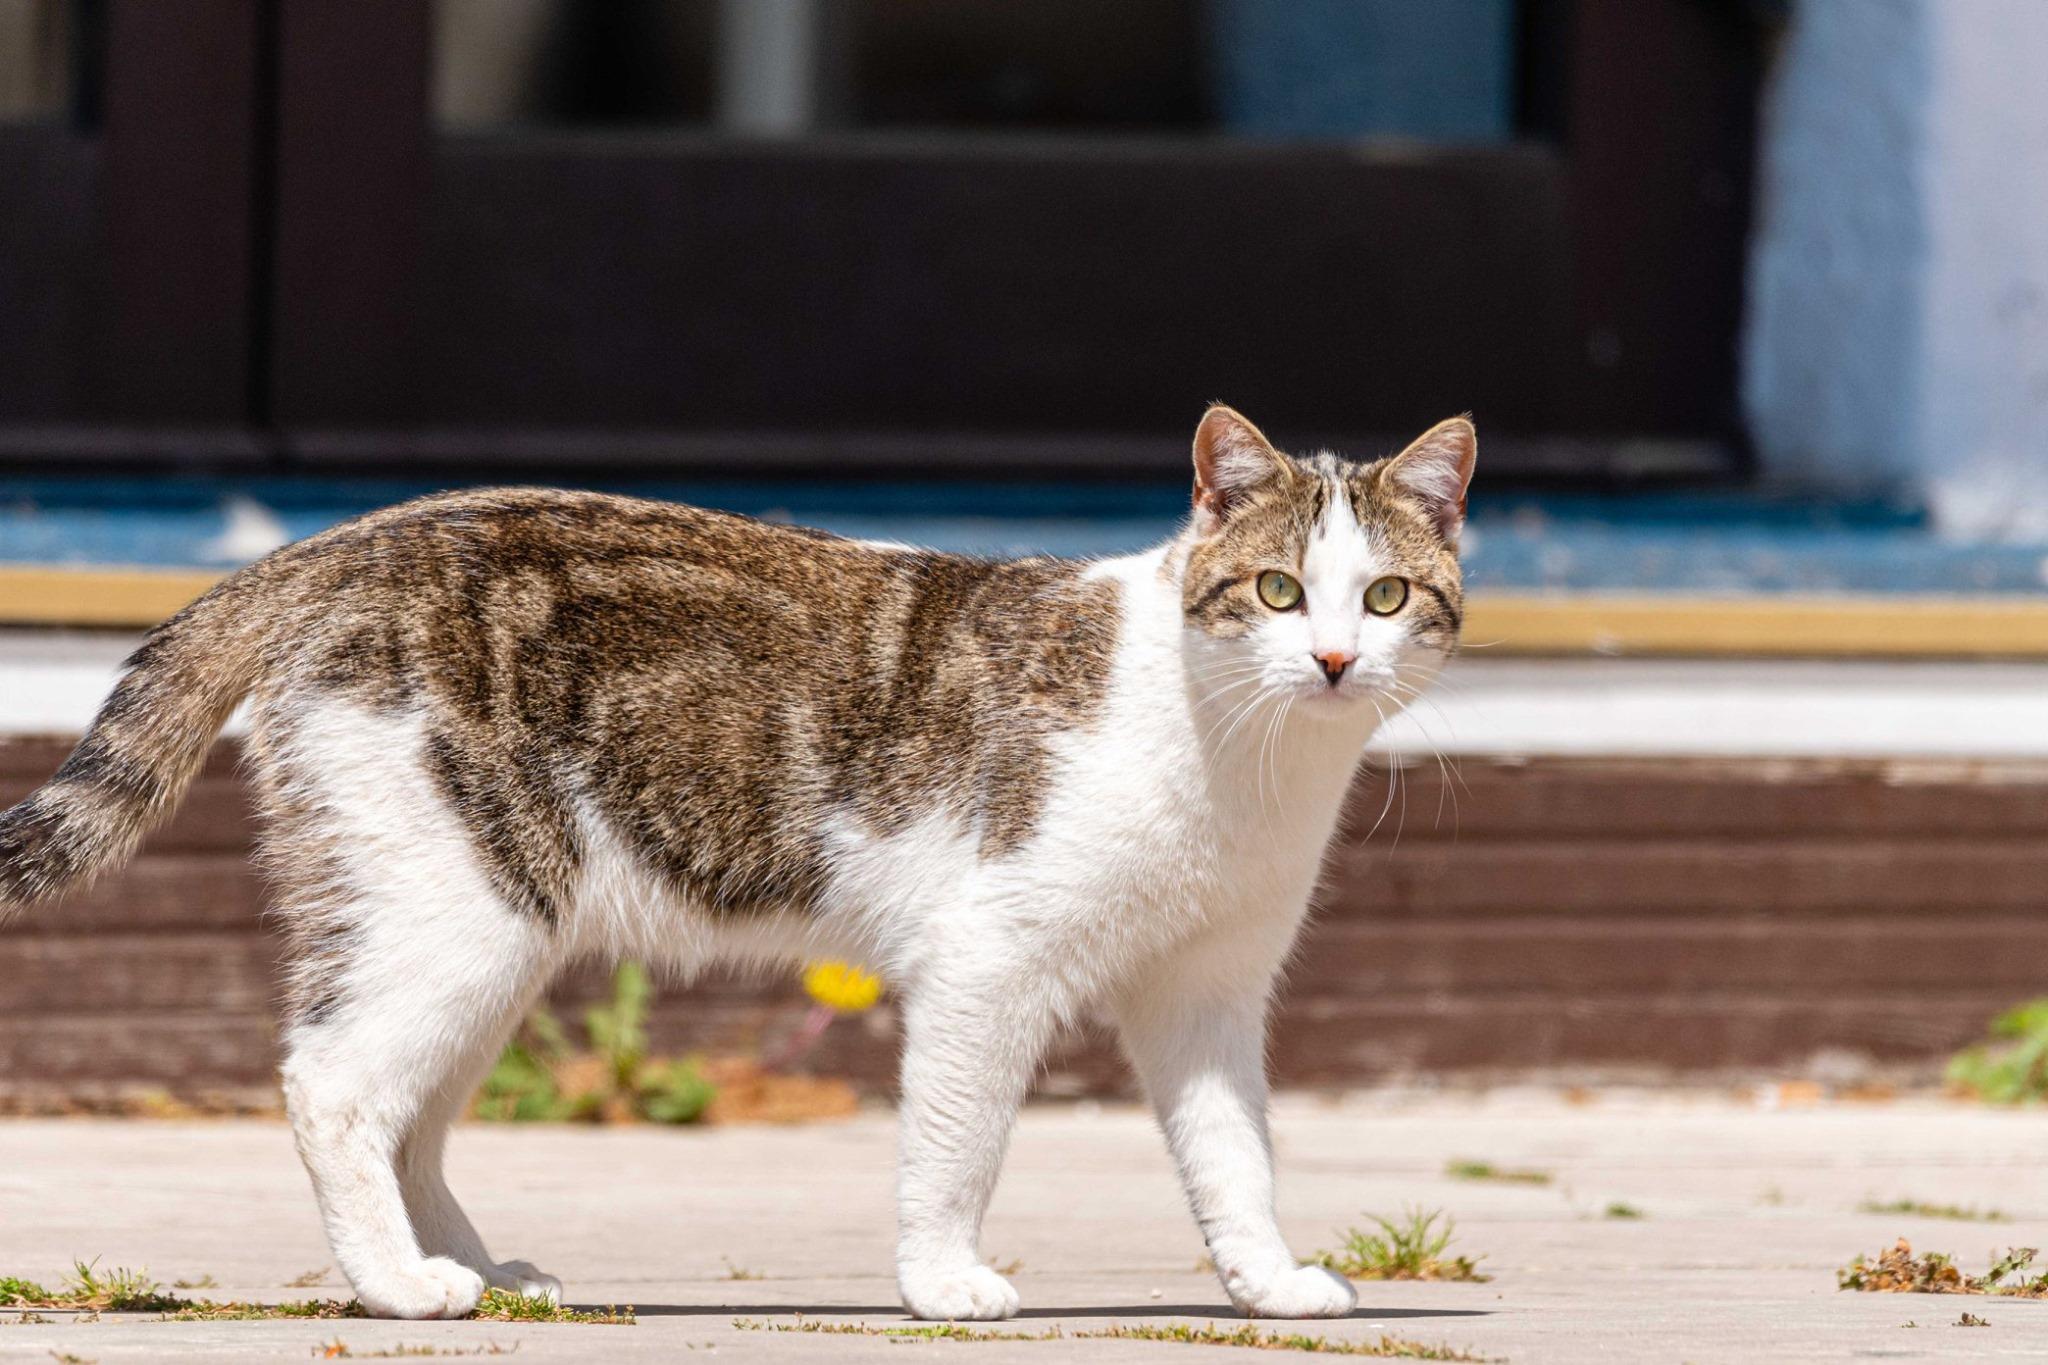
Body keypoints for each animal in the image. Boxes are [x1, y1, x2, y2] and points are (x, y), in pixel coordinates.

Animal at [0, 405, 1474, 1326]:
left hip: (483, 932)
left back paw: (467, 1266)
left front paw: (1268, 1282)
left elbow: (1235, 1154)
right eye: (1277, 590)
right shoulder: (989, 968)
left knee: (408, 1111)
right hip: (454, 907)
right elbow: (959, 1145)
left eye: (1385, 597)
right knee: (336, 1086)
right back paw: (398, 1283)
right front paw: (942, 1283)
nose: (1331, 660)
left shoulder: (1206, 995)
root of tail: (347, 537)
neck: (1241, 752)